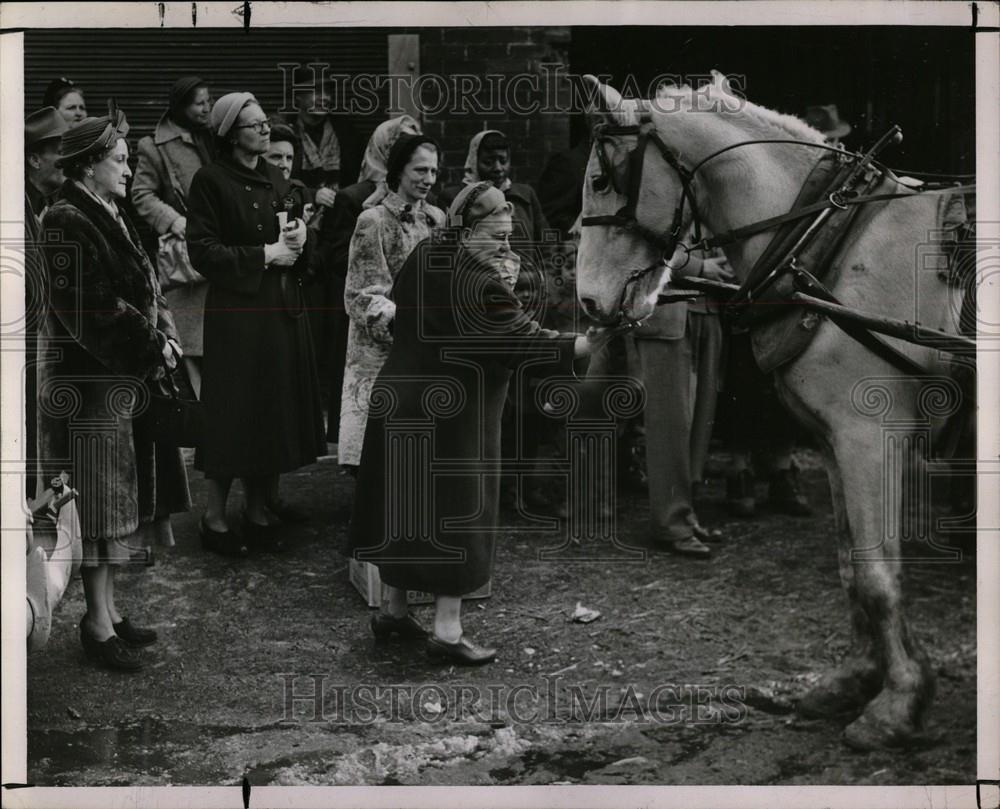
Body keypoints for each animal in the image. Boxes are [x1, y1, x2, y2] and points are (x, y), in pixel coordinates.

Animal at [576, 72, 972, 748]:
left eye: (602, 181)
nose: (587, 300)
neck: (822, 243)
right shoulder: (837, 443)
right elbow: (849, 566)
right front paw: (855, 680)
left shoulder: (869, 437)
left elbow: (877, 576)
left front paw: (897, 704)